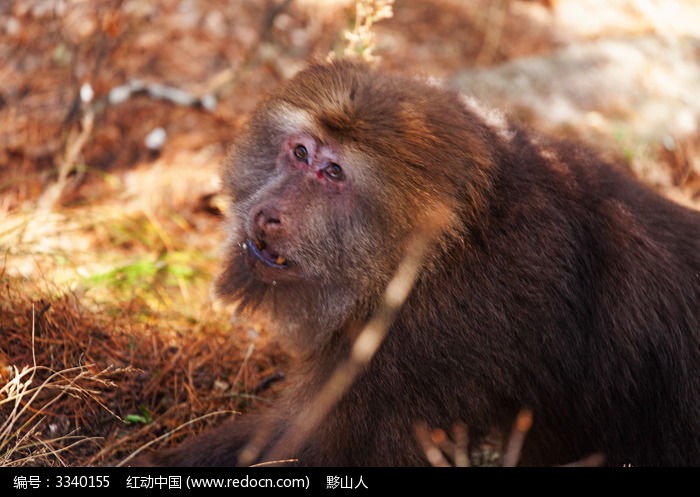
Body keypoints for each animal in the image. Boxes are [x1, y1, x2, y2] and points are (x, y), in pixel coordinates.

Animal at [133, 60, 700, 466]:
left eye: (333, 173)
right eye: (300, 153)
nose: (268, 214)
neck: (441, 254)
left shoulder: (414, 347)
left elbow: (314, 452)